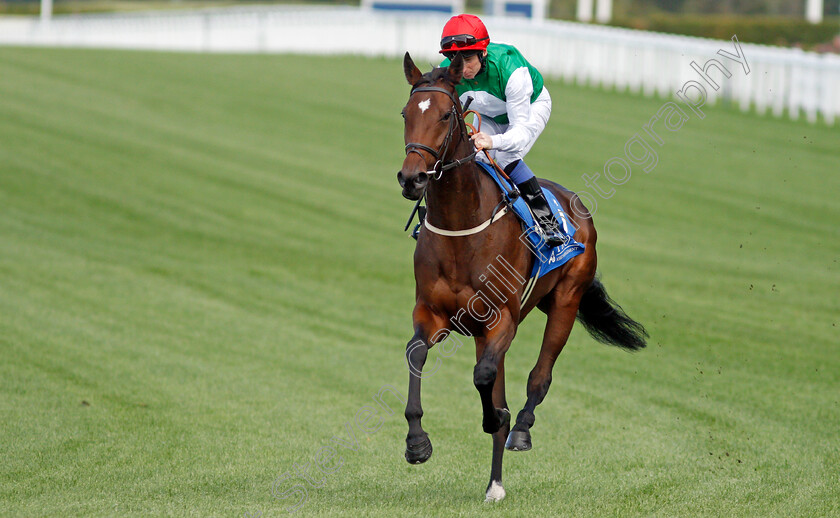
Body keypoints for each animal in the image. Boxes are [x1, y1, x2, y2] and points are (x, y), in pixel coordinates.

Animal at [398, 53, 648, 504]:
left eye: (445, 115)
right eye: (407, 113)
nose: (412, 179)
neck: (463, 227)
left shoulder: (502, 320)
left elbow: (485, 380)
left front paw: (498, 417)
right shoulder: (432, 313)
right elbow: (416, 355)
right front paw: (417, 443)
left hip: (565, 302)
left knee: (539, 377)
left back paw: (520, 432)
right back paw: (495, 482)